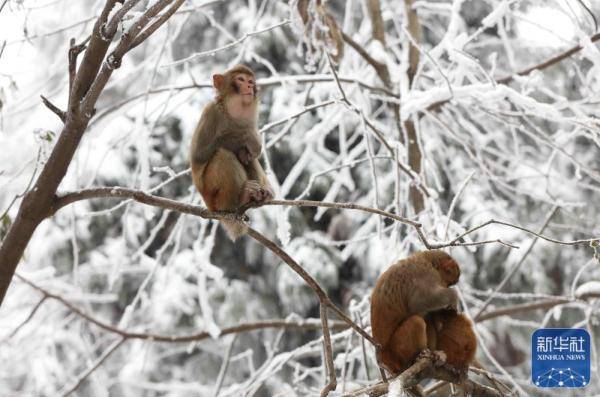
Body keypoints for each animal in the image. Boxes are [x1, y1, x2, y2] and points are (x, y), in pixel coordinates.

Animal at [190, 63, 274, 240]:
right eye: (240, 79)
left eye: (250, 80)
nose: (249, 86)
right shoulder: (211, 113)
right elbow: (199, 154)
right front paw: (249, 136)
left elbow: (249, 154)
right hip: (211, 195)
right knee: (223, 155)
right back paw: (235, 201)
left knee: (246, 158)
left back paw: (259, 196)